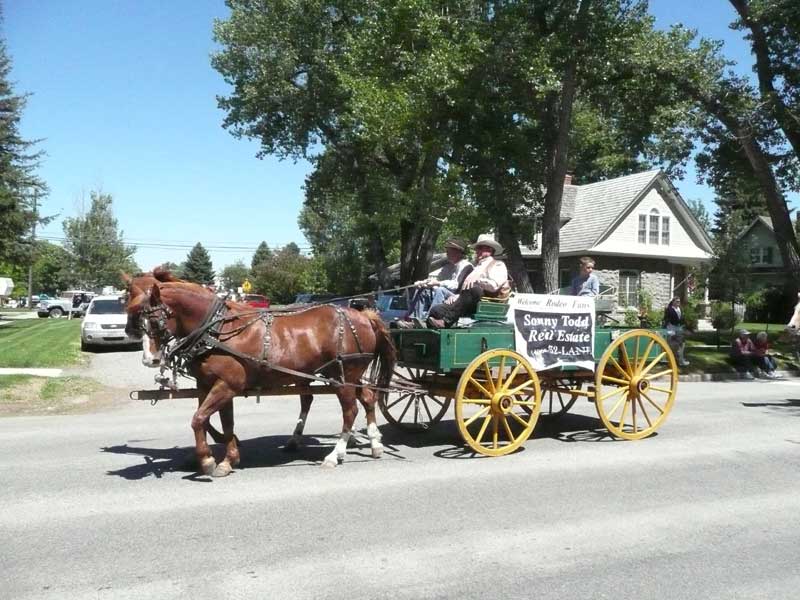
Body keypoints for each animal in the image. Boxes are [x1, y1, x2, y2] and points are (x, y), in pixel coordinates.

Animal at [126, 278, 396, 476]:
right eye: (138, 319)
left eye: (155, 321)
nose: (150, 360)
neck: (217, 330)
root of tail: (364, 316)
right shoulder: (209, 385)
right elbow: (218, 422)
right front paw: (226, 459)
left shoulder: (227, 385)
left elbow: (199, 419)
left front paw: (208, 461)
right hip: (348, 375)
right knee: (368, 398)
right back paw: (375, 444)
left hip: (343, 376)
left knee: (350, 411)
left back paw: (334, 455)